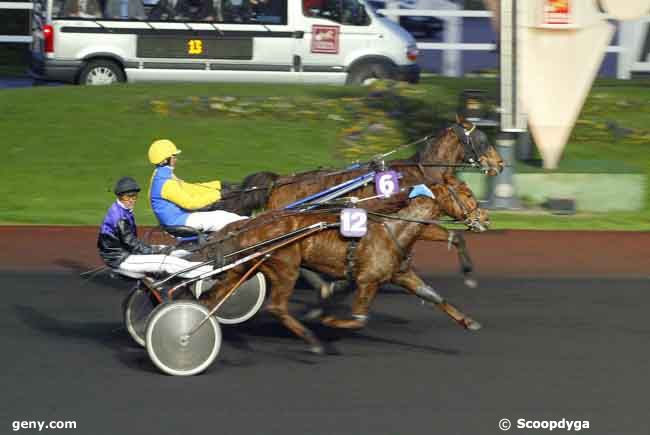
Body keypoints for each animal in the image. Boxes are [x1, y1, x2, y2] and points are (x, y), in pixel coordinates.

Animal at [200, 181, 484, 354]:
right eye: (468, 193)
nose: (484, 217)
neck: (393, 229)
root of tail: (250, 223)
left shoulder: (400, 274)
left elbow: (432, 295)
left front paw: (469, 321)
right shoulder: (368, 281)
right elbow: (359, 319)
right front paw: (327, 318)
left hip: (243, 267)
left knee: (211, 297)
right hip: (285, 267)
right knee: (277, 307)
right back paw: (314, 342)